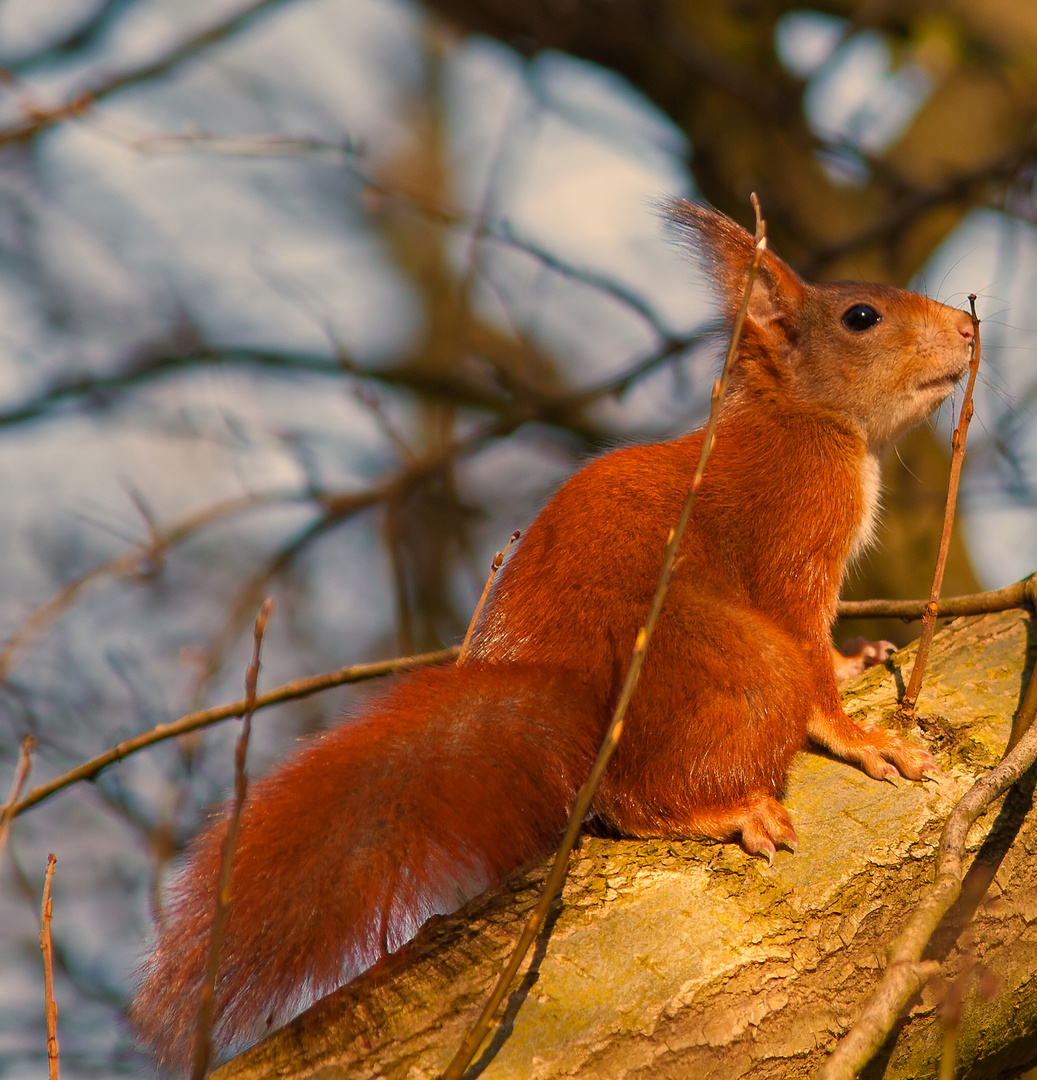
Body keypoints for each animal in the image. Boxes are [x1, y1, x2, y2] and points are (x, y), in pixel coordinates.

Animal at [133, 204, 976, 1071]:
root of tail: (565, 720)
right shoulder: (796, 531)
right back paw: (723, 810)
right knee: (641, 801)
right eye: (860, 317)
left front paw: (859, 656)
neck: (804, 417)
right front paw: (860, 735)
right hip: (738, 665)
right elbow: (808, 653)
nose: (967, 326)